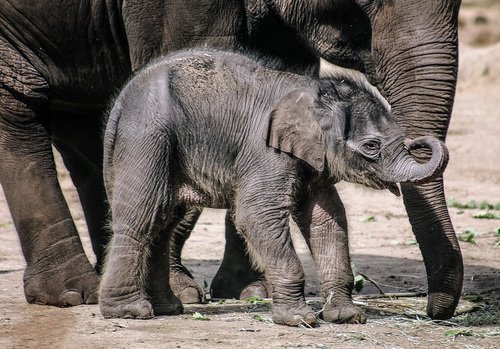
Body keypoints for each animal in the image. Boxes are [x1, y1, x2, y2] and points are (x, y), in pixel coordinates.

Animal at [100, 47, 450, 324]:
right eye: (371, 146)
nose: (419, 141)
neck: (313, 92)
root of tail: (119, 103)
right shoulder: (265, 151)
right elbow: (257, 214)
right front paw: (300, 321)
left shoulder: (311, 160)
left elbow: (326, 219)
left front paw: (347, 317)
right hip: (148, 136)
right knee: (145, 216)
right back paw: (129, 312)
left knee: (163, 221)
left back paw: (168, 309)